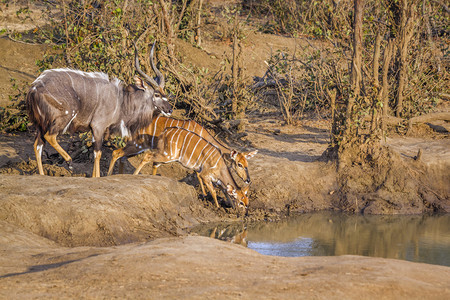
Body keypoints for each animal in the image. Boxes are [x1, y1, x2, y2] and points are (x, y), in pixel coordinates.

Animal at [26, 43, 172, 177]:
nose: (170, 109)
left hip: (40, 124)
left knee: (37, 145)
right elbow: (98, 153)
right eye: (156, 94)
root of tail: (34, 88)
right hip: (62, 118)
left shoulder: (96, 130)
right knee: (49, 136)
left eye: (164, 92)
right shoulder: (98, 126)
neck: (122, 101)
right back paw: (69, 161)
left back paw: (42, 175)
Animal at [107, 115, 258, 185]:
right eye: (239, 164)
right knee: (116, 153)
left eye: (247, 164)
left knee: (121, 156)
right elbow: (197, 173)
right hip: (137, 145)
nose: (248, 180)